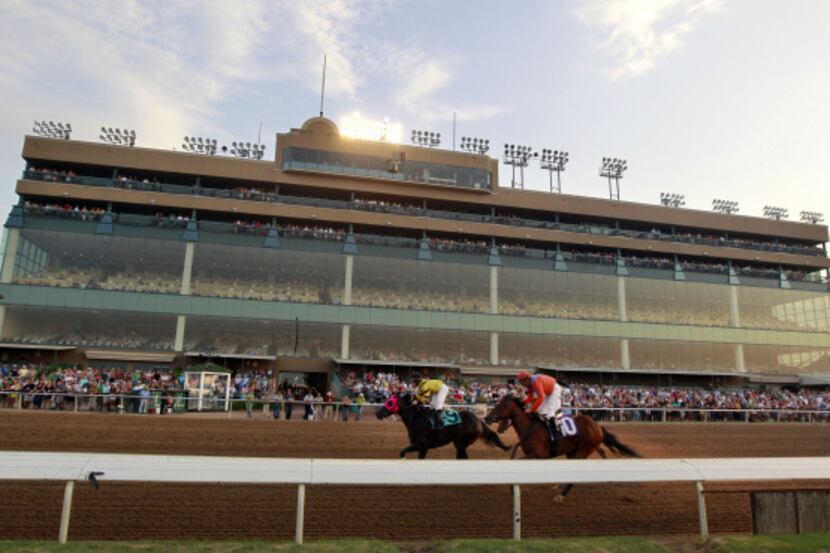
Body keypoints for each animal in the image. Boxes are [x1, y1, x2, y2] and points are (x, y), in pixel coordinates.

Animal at [378, 390, 512, 460]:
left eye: (390, 402)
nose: (378, 413)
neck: (416, 419)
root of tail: (479, 421)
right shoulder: (423, 448)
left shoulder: (421, 445)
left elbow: (402, 452)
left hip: (461, 443)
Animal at [484, 394, 648, 498]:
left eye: (501, 405)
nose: (487, 418)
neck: (530, 427)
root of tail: (598, 426)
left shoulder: (539, 456)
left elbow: (517, 461)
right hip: (572, 453)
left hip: (582, 451)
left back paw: (561, 495)